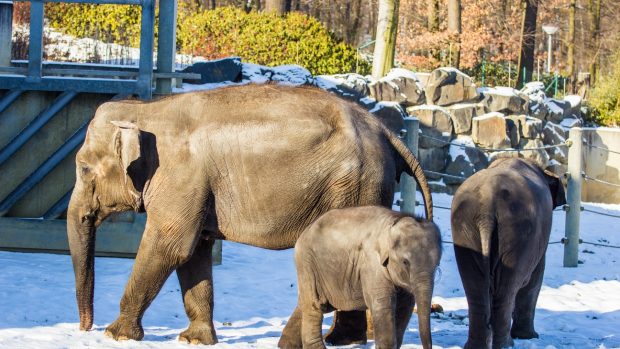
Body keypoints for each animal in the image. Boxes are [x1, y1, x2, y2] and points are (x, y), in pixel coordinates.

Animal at [280, 205, 440, 346]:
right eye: (405, 262)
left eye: (437, 264)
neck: (395, 220)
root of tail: (305, 230)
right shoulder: (371, 263)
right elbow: (382, 305)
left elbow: (405, 308)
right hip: (307, 262)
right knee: (314, 306)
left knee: (305, 303)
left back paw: (287, 344)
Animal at [450, 158, 568, 348]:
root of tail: (487, 210)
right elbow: (535, 278)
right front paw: (529, 337)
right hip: (518, 233)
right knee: (507, 290)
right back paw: (507, 344)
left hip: (464, 228)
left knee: (476, 290)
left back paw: (477, 345)